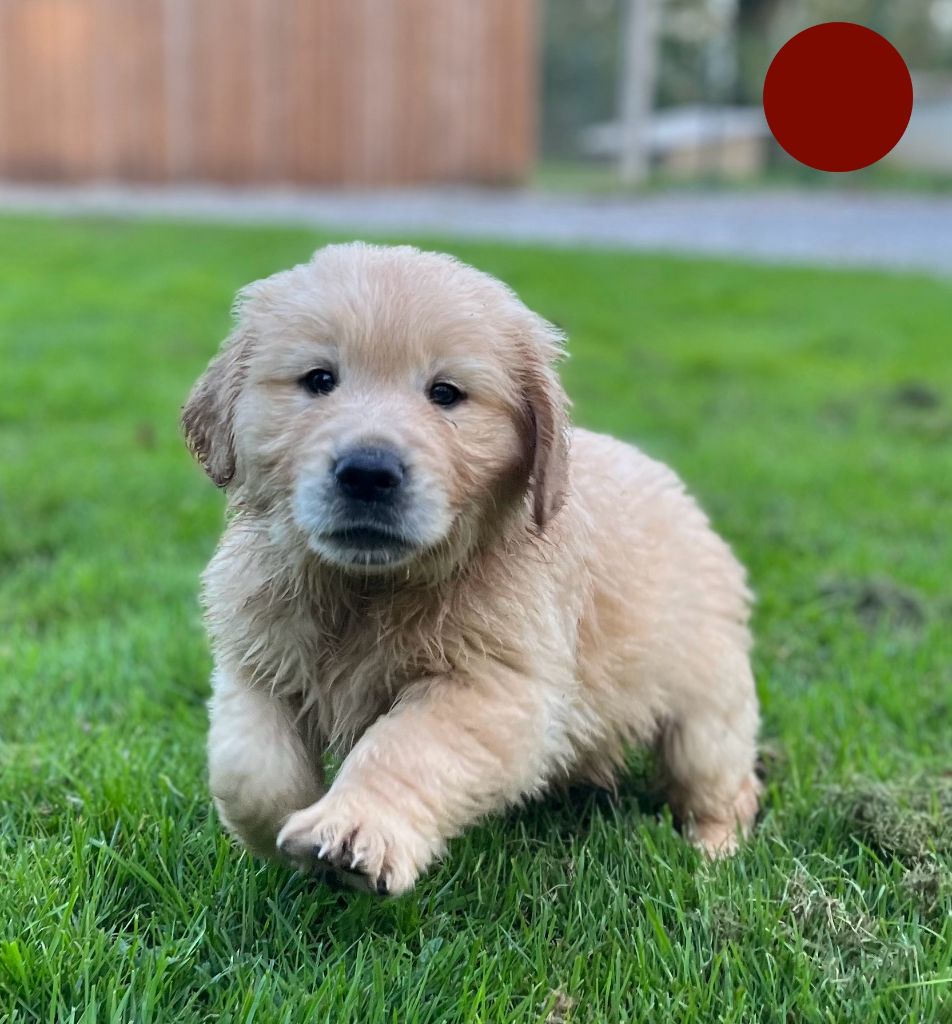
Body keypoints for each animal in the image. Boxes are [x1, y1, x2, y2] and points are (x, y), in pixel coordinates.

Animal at [183, 243, 757, 892]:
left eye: (446, 393)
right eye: (319, 380)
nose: (368, 473)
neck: (367, 589)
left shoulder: (491, 687)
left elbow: (404, 746)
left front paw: (355, 829)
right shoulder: (255, 662)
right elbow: (248, 770)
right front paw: (286, 836)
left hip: (708, 704)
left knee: (725, 783)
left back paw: (712, 853)